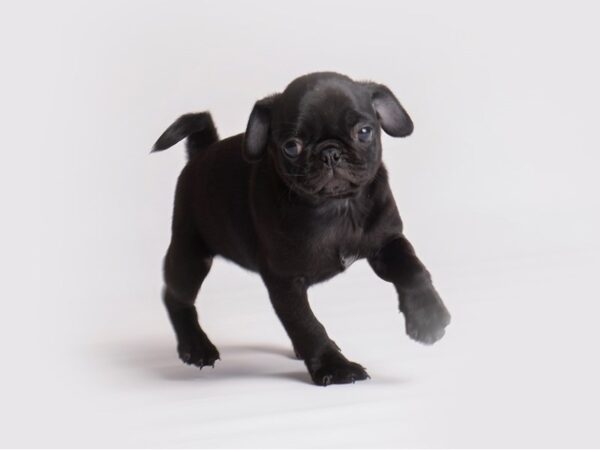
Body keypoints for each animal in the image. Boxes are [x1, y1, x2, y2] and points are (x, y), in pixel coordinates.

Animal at [151, 72, 450, 384]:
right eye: (291, 146)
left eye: (365, 132)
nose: (330, 152)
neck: (338, 207)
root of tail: (202, 152)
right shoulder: (285, 280)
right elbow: (305, 323)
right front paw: (335, 366)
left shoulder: (387, 241)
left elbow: (413, 269)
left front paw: (428, 317)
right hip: (191, 255)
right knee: (176, 298)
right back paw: (195, 346)